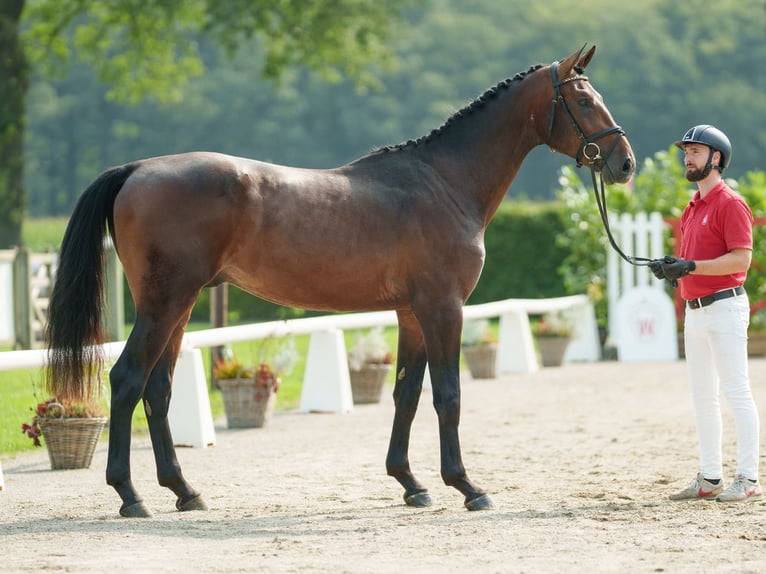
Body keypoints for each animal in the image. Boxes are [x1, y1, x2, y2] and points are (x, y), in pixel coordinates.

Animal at [45, 47, 640, 520]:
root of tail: (137, 169)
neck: (444, 182)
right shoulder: (443, 307)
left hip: (179, 306)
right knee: (127, 381)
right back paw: (130, 496)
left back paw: (184, 491)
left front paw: (411, 484)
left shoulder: (411, 312)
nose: (625, 164)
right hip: (165, 304)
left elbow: (406, 393)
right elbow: (448, 395)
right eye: (584, 100)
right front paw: (467, 486)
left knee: (159, 390)